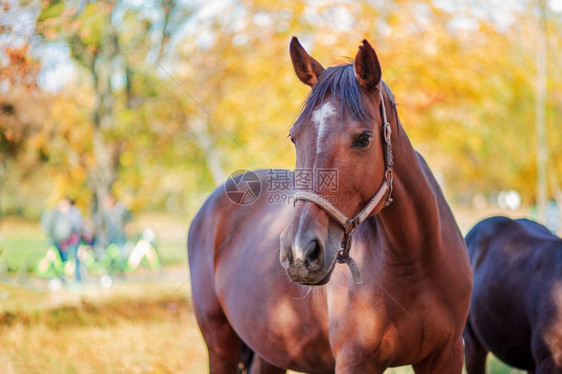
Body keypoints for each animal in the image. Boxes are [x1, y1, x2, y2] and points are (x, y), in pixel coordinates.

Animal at [189, 36, 472, 372]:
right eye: (294, 137)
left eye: (364, 139)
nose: (299, 253)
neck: (415, 262)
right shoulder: (355, 360)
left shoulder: (447, 354)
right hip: (219, 342)